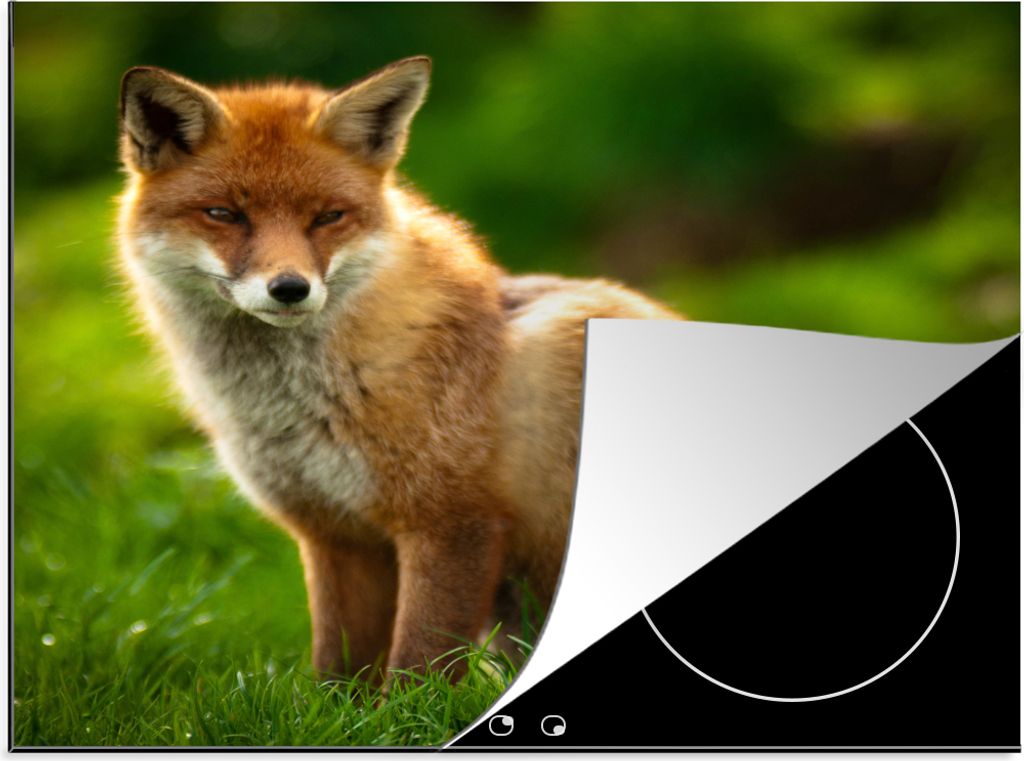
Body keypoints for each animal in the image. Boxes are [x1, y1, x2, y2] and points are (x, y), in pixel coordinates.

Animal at [116, 56, 678, 681]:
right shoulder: (335, 534)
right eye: (224, 214)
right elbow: (337, 667)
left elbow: (418, 663)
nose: (290, 288)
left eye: (328, 217)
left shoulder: (453, 523)